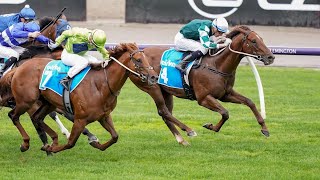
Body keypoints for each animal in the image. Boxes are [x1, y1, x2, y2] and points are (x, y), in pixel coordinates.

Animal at [0, 42, 159, 153]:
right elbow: (70, 143)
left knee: (36, 118)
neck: (101, 84)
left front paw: (95, 142)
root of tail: (18, 68)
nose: (154, 77)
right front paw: (52, 149)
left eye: (146, 58)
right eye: (138, 60)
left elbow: (114, 137)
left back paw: (52, 140)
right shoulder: (80, 119)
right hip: (25, 101)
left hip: (47, 103)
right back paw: (26, 143)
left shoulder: (104, 116)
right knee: (13, 115)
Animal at [129, 25, 276, 144]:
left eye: (261, 39)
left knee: (166, 114)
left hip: (166, 91)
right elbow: (225, 113)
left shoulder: (226, 94)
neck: (217, 65)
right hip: (152, 86)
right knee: (163, 111)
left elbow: (250, 102)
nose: (271, 57)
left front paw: (265, 129)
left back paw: (181, 139)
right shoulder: (203, 98)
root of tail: (137, 54)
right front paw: (211, 126)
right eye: (254, 41)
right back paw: (188, 131)